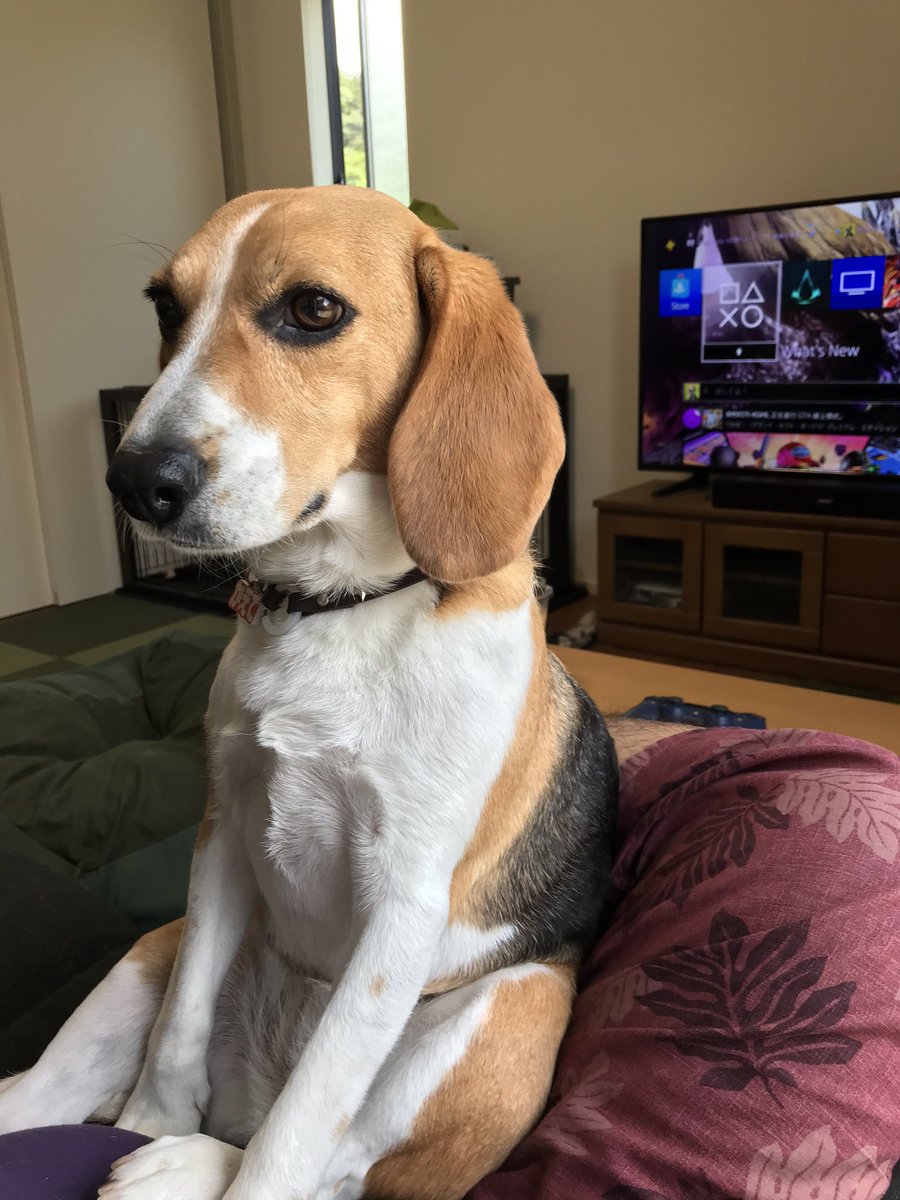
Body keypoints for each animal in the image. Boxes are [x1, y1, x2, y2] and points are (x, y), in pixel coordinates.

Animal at [0, 186, 617, 1200]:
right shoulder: (221, 833)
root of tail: (251, 1086)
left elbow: (296, 1139)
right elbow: (175, 1041)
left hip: (517, 1008)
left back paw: (191, 1164)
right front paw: (146, 1123)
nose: (134, 481)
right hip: (150, 949)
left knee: (318, 1161)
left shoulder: (404, 910)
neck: (336, 609)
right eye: (164, 308)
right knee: (57, 1092)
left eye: (314, 309)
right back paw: (154, 1139)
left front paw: (190, 1156)